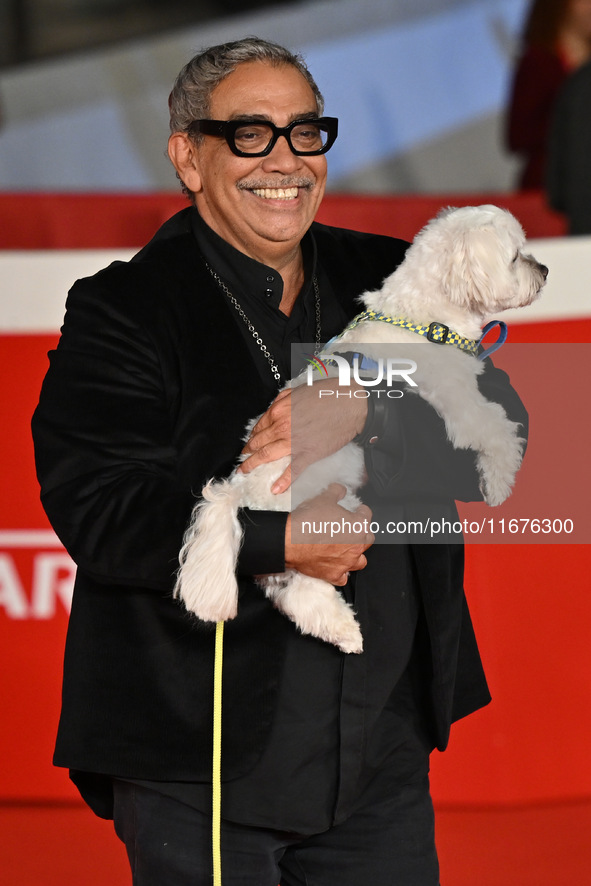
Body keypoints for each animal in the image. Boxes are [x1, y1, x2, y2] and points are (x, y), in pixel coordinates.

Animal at [173, 205, 548, 656]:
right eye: (515, 257)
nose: (545, 269)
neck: (424, 319)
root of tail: (239, 492)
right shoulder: (458, 403)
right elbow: (498, 429)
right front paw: (499, 483)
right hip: (318, 521)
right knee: (300, 588)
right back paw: (345, 630)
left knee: (292, 593)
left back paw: (341, 630)